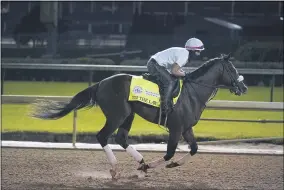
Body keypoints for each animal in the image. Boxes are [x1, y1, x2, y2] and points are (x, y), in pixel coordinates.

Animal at [30, 53, 246, 180]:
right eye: (233, 69)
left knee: (121, 137)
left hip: (128, 115)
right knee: (103, 136)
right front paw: (151, 166)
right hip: (118, 114)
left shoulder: (186, 128)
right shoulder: (176, 128)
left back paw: (140, 160)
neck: (192, 93)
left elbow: (194, 149)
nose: (243, 87)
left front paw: (170, 164)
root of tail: (100, 83)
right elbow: (169, 152)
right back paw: (117, 169)